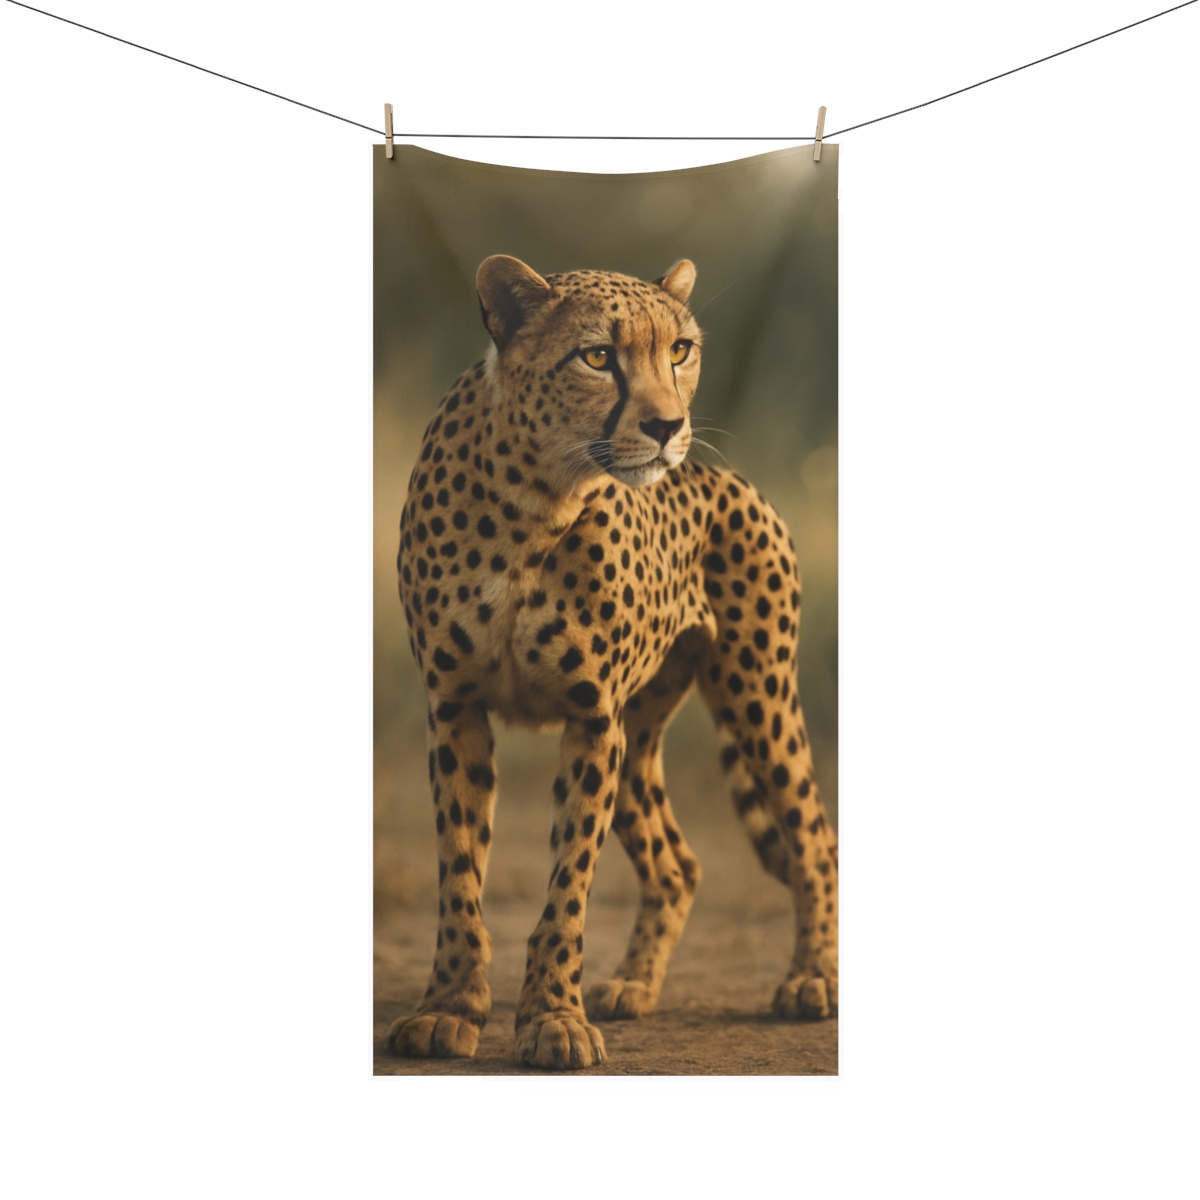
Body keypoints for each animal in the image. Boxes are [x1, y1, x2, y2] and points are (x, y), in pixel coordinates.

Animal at [384, 255, 838, 1070]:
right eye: (597, 357)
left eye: (680, 351)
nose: (668, 427)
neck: (533, 505)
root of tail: (727, 477)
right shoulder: (456, 707)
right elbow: (460, 872)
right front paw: (449, 1008)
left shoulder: (592, 719)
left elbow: (569, 887)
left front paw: (551, 1020)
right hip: (643, 731)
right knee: (677, 863)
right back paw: (633, 985)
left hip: (757, 691)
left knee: (813, 837)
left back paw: (813, 978)